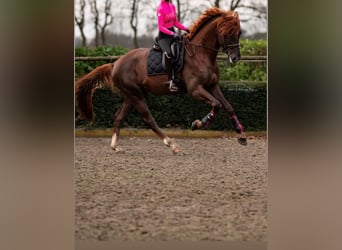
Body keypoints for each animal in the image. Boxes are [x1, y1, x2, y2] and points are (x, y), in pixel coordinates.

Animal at [75, 7, 246, 153]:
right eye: (226, 33)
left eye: (238, 33)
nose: (235, 58)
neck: (200, 54)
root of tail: (115, 63)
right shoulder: (195, 89)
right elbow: (216, 105)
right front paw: (197, 124)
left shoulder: (212, 86)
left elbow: (228, 106)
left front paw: (241, 135)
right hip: (136, 95)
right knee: (148, 119)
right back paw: (171, 144)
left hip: (131, 96)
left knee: (119, 117)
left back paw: (115, 146)